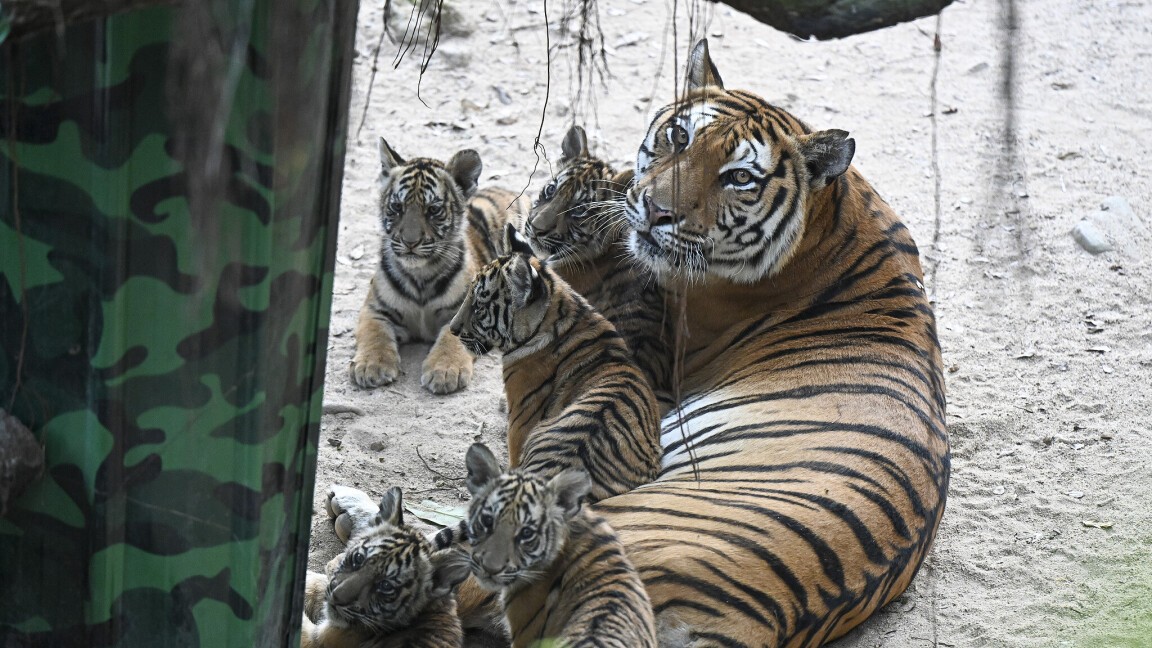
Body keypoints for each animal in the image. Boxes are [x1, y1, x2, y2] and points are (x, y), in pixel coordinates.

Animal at [347, 137, 525, 394]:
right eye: (397, 207)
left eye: (433, 210)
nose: (410, 242)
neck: (420, 274)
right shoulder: (375, 309)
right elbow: (374, 334)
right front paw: (371, 366)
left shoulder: (462, 312)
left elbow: (451, 339)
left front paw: (446, 371)